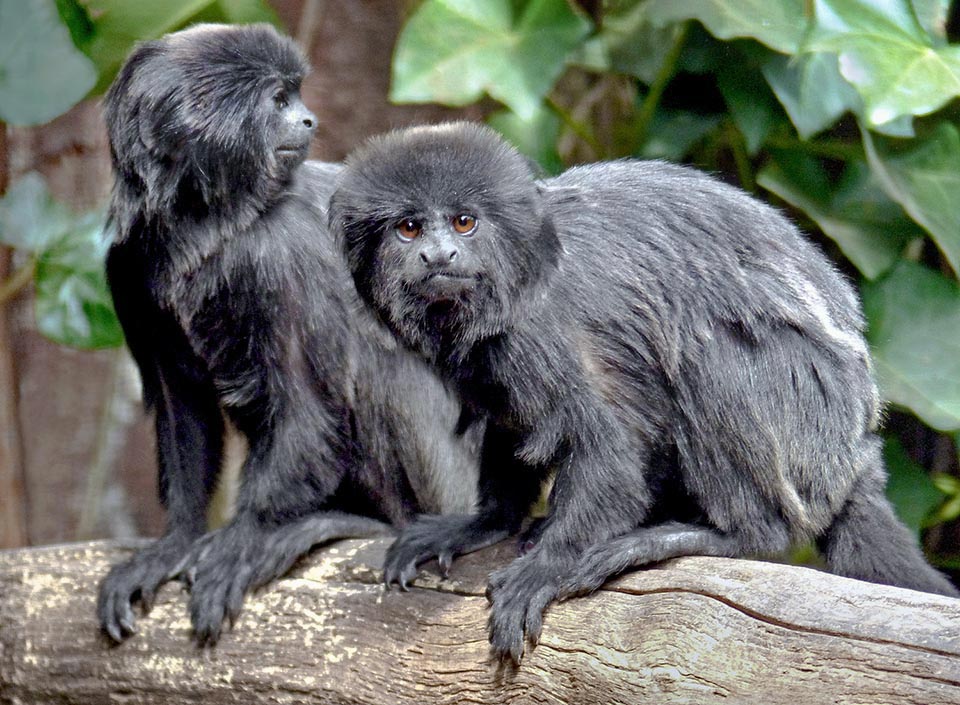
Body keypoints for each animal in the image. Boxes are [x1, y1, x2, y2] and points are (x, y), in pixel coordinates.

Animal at [95, 26, 478, 644]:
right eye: (279, 101)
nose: (308, 118)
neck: (208, 230)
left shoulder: (279, 248)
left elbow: (307, 409)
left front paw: (246, 536)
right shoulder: (129, 264)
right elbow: (184, 405)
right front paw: (175, 541)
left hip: (451, 486)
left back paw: (353, 521)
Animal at [326, 122, 956, 664]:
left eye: (463, 223)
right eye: (409, 228)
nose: (438, 255)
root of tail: (856, 450)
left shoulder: (549, 329)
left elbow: (612, 451)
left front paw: (547, 567)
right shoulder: (494, 357)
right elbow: (509, 422)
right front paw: (485, 522)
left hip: (810, 422)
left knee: (712, 355)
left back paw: (719, 533)